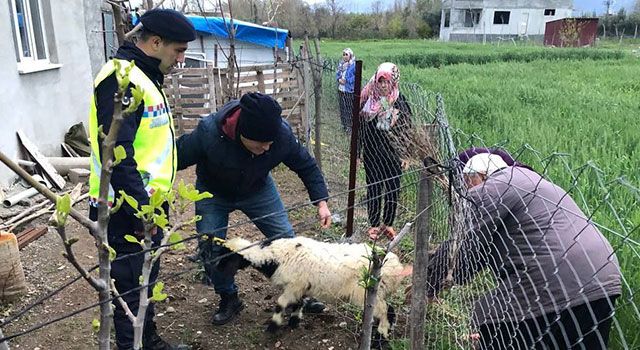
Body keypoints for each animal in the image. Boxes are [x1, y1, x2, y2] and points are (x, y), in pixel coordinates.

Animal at [215, 235, 404, 342]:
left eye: (227, 257)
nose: (215, 270)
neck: (275, 257)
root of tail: (397, 268)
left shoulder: (294, 285)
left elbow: (280, 303)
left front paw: (273, 326)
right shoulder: (300, 286)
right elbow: (298, 303)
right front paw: (293, 322)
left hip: (367, 291)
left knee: (385, 311)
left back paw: (381, 336)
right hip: (376, 292)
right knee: (389, 309)